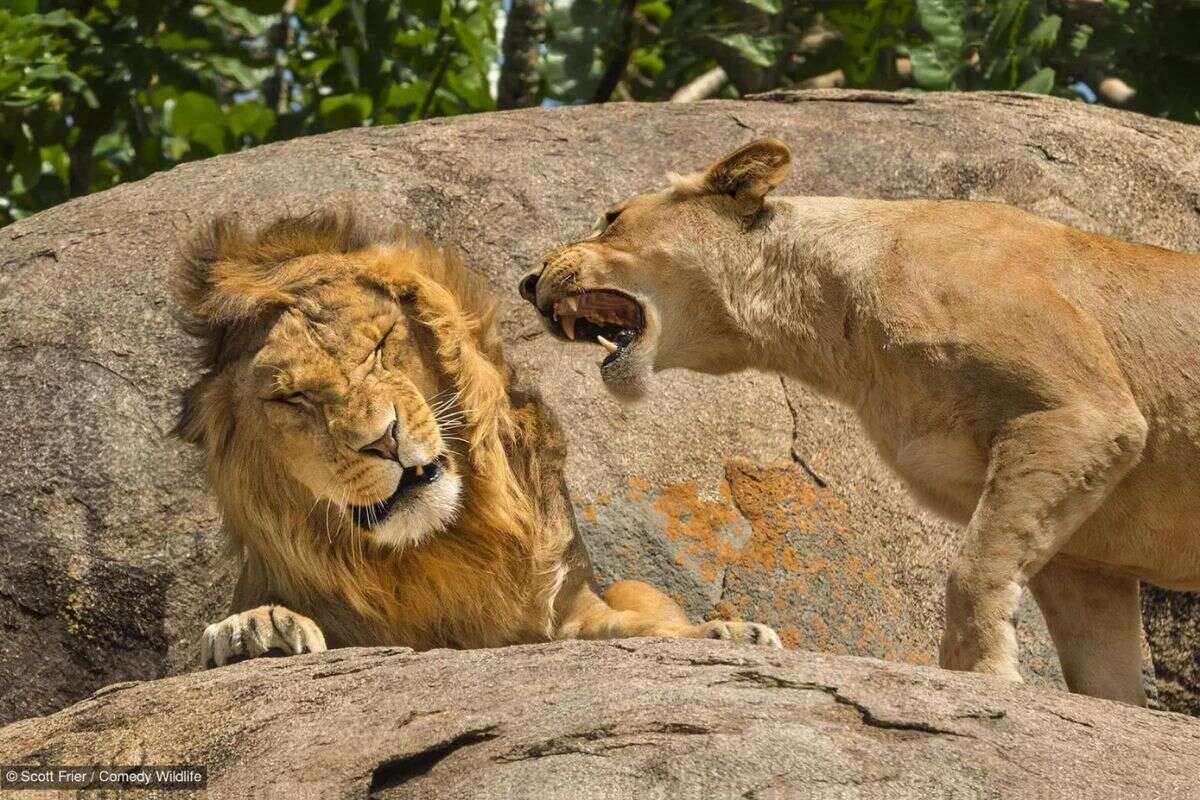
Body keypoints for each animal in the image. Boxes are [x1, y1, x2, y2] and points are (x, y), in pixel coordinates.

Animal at [175, 205, 777, 662]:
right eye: (292, 398)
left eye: (380, 345)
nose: (383, 439)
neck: (438, 547)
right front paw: (255, 629)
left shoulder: (566, 608)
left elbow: (634, 627)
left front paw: (725, 632)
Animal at [520, 139, 1200, 705]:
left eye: (612, 217)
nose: (527, 281)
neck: (833, 327)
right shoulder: (1086, 555)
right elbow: (1101, 672)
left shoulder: (1081, 412)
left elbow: (973, 568)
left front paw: (981, 677)